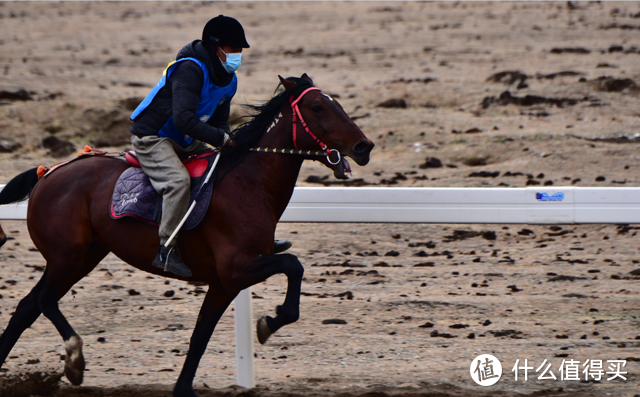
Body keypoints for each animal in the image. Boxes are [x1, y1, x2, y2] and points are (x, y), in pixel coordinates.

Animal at [0, 74, 376, 396]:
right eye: (318, 107)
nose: (364, 146)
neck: (249, 183)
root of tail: (48, 172)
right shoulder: (236, 268)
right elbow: (293, 264)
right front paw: (271, 321)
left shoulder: (224, 283)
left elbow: (200, 336)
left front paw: (184, 388)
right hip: (67, 256)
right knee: (44, 301)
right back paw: (75, 361)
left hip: (84, 256)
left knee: (27, 306)